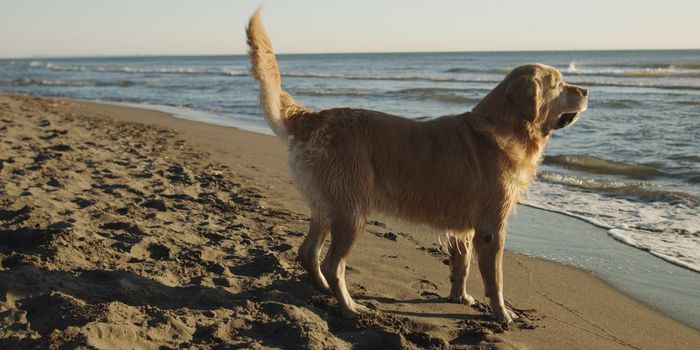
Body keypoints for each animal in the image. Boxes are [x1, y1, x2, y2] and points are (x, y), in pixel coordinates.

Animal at [246, 10, 584, 322]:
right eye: (559, 84)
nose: (586, 91)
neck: (506, 127)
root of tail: (315, 117)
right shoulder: (491, 228)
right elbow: (495, 279)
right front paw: (502, 313)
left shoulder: (462, 228)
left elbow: (461, 265)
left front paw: (460, 297)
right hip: (352, 209)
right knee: (332, 263)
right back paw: (350, 306)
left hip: (328, 205)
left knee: (308, 252)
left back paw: (324, 290)